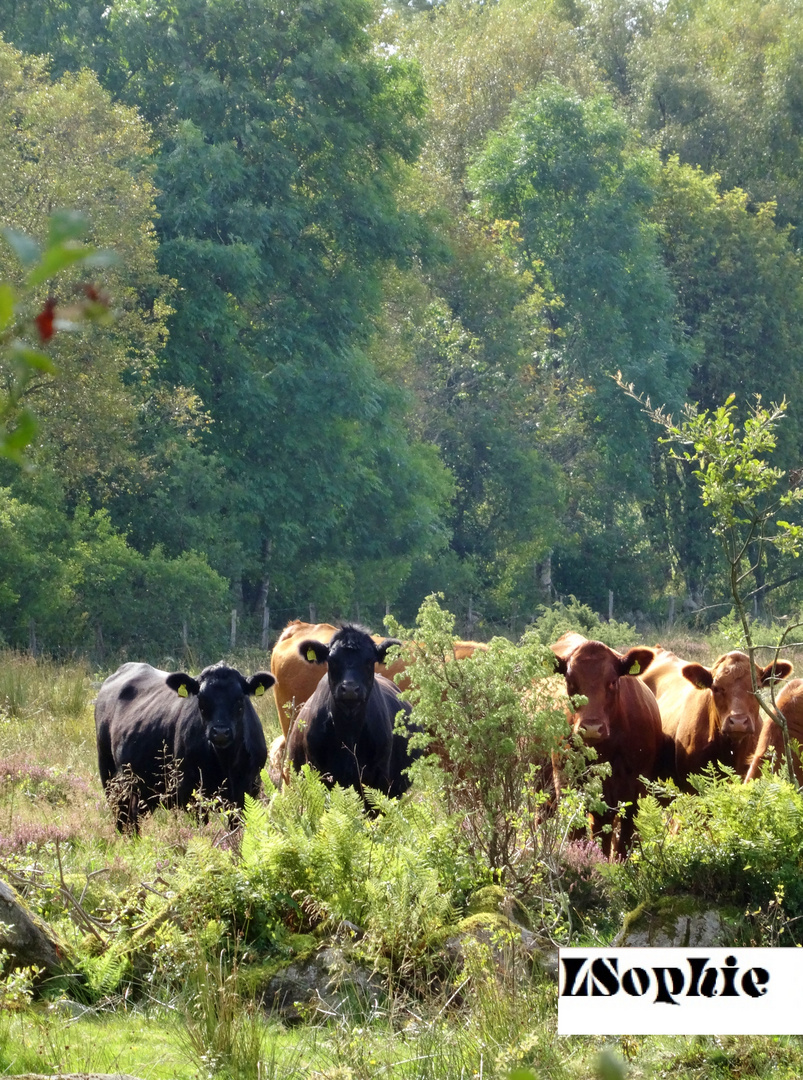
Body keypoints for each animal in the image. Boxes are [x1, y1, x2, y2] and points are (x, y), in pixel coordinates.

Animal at [94, 660, 273, 829]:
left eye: (240, 699)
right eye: (201, 699)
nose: (221, 732)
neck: (225, 762)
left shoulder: (247, 793)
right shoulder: (191, 795)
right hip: (110, 778)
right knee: (122, 821)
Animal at [548, 630, 660, 851]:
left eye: (613, 681)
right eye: (570, 681)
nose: (592, 727)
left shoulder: (634, 795)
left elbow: (623, 843)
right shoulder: (567, 785)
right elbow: (575, 834)